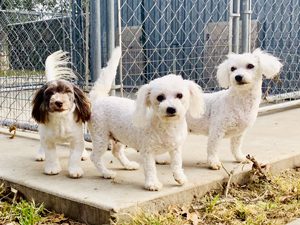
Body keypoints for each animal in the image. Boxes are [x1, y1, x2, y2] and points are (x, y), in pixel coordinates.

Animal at [88, 47, 204, 190]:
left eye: (180, 95)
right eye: (160, 97)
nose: (171, 109)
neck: (167, 125)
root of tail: (99, 99)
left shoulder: (176, 148)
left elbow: (177, 164)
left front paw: (180, 177)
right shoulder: (147, 151)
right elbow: (150, 168)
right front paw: (152, 184)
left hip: (119, 136)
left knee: (116, 152)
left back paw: (128, 165)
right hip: (101, 138)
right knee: (94, 157)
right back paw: (106, 173)